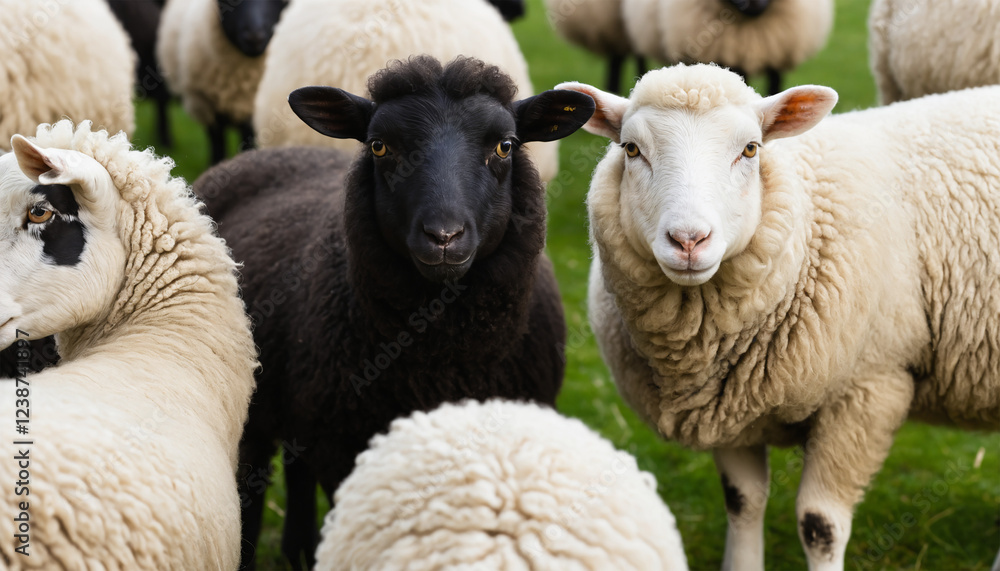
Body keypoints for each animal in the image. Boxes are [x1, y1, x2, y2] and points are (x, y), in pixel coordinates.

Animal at [197, 56, 595, 569]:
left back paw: (298, 552)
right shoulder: (346, 452)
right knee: (253, 476)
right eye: (380, 145)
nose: (444, 236)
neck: (443, 363)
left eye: (505, 146)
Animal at [557, 64, 1000, 570]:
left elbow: (819, 524)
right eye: (631, 149)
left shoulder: (868, 389)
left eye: (751, 149)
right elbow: (742, 502)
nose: (689, 240)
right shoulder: (725, 409)